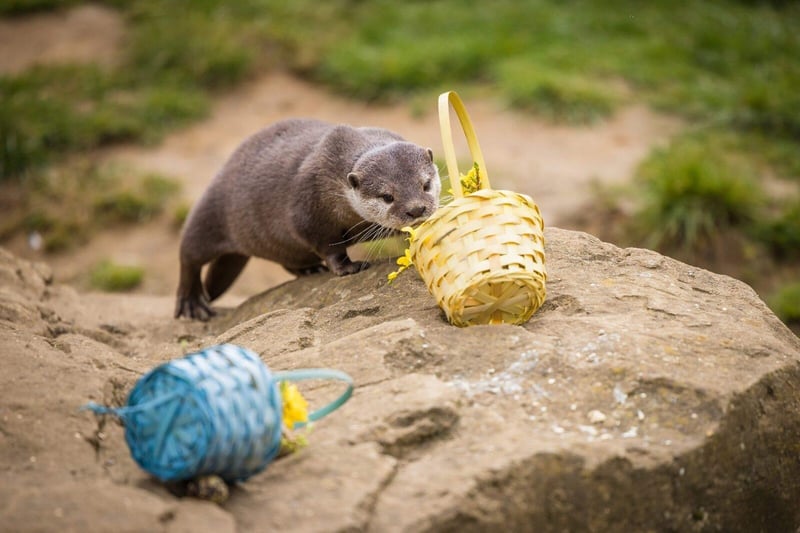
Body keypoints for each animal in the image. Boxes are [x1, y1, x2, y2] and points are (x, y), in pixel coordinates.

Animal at [173, 119, 444, 320]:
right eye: (387, 196)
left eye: (425, 184)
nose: (416, 209)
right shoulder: (306, 209)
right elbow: (326, 244)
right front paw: (347, 267)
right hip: (209, 212)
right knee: (188, 256)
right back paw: (192, 304)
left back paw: (309, 269)